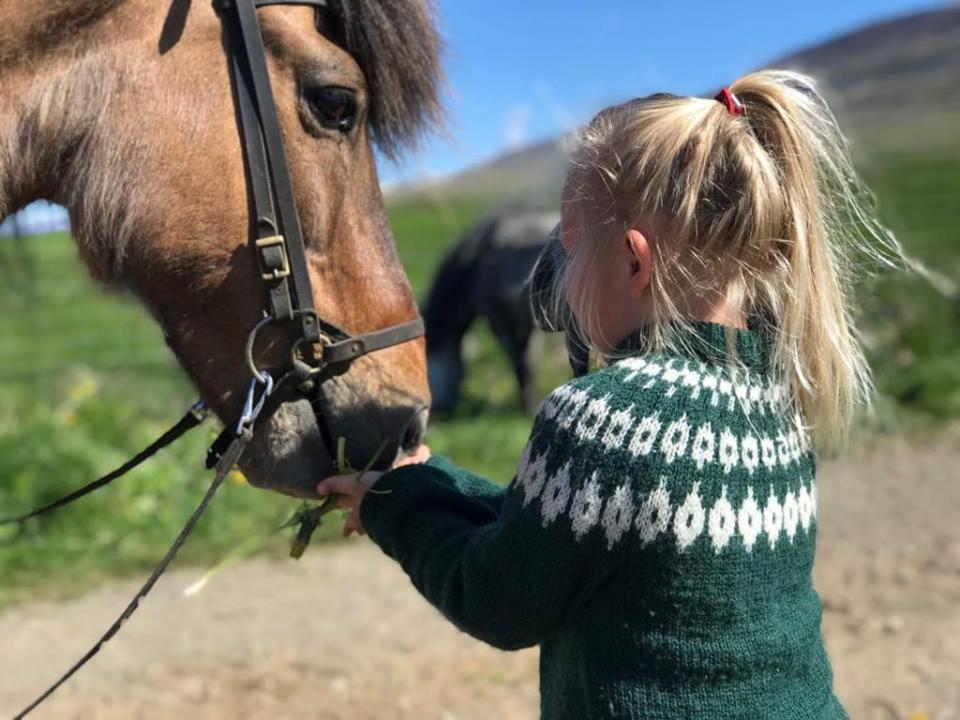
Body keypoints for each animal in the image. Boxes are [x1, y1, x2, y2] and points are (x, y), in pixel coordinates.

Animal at [424, 205, 560, 414]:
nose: (437, 410)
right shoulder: (528, 324)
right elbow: (529, 361)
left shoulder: (498, 320)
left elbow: (521, 362)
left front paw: (529, 405)